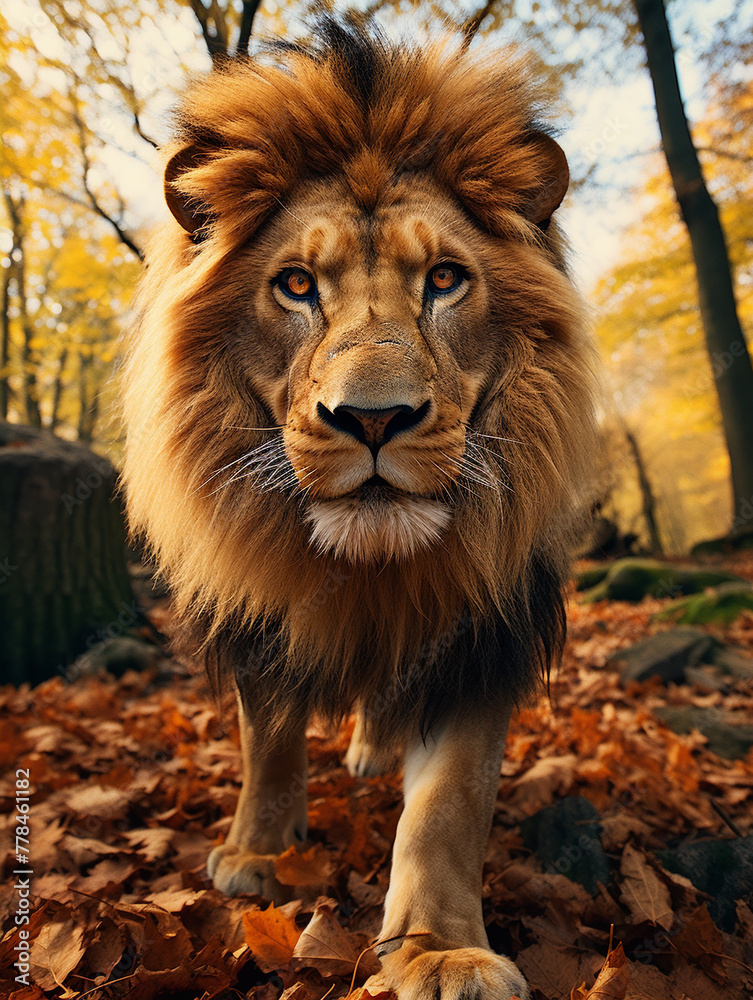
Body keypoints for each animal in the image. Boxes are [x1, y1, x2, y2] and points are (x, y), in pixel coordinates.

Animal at [121, 16, 597, 1000]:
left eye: (445, 280)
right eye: (297, 285)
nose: (373, 418)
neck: (371, 569)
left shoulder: (481, 633)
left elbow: (447, 806)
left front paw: (438, 951)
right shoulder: (261, 618)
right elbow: (266, 742)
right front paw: (256, 856)